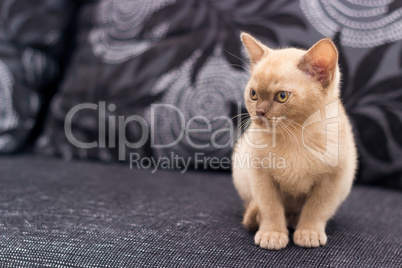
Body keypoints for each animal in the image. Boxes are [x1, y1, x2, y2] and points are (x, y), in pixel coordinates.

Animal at [232, 33, 358, 249]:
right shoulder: (261, 174)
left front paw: (308, 233)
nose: (259, 112)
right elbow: (270, 207)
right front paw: (272, 234)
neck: (295, 135)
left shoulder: (333, 177)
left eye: (282, 96)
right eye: (253, 94)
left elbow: (316, 208)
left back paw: (294, 221)